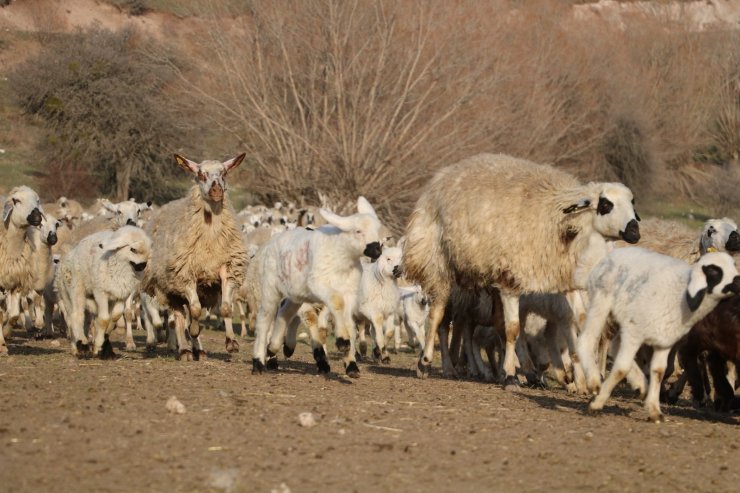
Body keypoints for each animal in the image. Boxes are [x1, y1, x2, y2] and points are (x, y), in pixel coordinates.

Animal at [0, 185, 43, 354]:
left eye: (37, 200)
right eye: (16, 200)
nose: (37, 215)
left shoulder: (16, 282)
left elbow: (13, 315)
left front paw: (5, 334)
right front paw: (1, 344)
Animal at [54, 225, 152, 356]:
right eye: (133, 249)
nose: (142, 266)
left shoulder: (121, 294)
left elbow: (114, 316)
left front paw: (104, 337)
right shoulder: (101, 293)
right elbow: (104, 319)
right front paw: (99, 344)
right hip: (73, 292)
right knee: (75, 316)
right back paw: (80, 344)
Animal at [142, 152, 249, 360]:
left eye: (224, 173)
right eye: (200, 174)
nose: (216, 190)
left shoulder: (228, 268)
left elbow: (225, 308)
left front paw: (231, 343)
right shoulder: (185, 274)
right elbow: (196, 311)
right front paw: (192, 332)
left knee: (188, 314)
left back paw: (198, 349)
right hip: (170, 288)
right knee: (179, 317)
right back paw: (184, 349)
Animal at [253, 196, 384, 376]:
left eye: (377, 230)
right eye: (358, 231)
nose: (377, 250)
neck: (343, 258)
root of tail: (271, 242)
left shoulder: (350, 292)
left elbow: (349, 324)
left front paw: (351, 365)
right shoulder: (319, 285)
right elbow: (336, 303)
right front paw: (342, 341)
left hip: (296, 292)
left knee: (285, 313)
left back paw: (274, 347)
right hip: (270, 288)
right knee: (264, 320)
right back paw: (259, 361)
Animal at [580, 248, 740, 420]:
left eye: (733, 264)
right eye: (713, 271)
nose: (738, 281)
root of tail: (617, 251)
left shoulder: (664, 341)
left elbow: (659, 371)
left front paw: (654, 411)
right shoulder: (635, 333)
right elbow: (622, 368)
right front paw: (597, 403)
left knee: (614, 346)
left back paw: (640, 385)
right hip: (601, 302)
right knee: (587, 338)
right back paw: (594, 381)